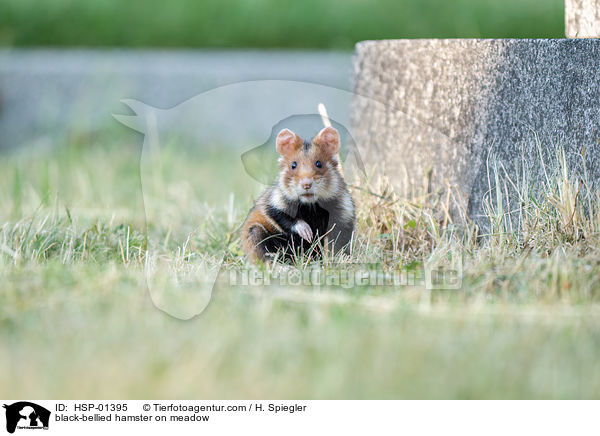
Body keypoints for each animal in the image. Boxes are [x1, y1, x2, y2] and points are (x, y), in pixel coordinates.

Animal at [241, 126, 354, 262]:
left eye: (319, 163)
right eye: (293, 165)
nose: (306, 185)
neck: (311, 207)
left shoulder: (344, 213)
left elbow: (336, 243)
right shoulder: (273, 203)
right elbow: (285, 217)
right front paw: (308, 234)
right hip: (255, 233)